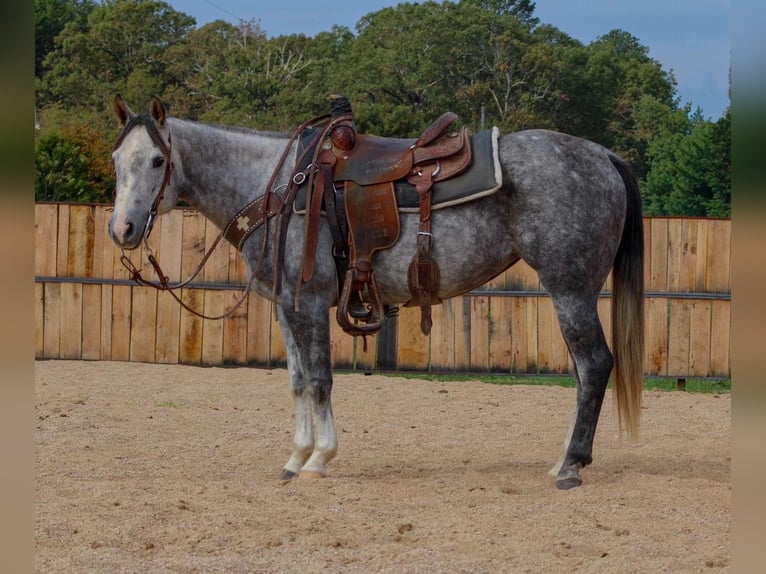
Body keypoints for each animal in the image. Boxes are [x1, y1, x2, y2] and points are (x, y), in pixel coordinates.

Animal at [108, 95, 644, 490]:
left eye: (157, 160)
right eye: (116, 160)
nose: (123, 229)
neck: (278, 187)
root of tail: (602, 155)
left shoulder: (309, 303)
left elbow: (320, 380)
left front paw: (318, 460)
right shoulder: (286, 308)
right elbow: (297, 381)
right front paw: (295, 456)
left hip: (570, 289)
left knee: (594, 365)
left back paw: (571, 465)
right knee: (583, 371)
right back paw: (563, 459)